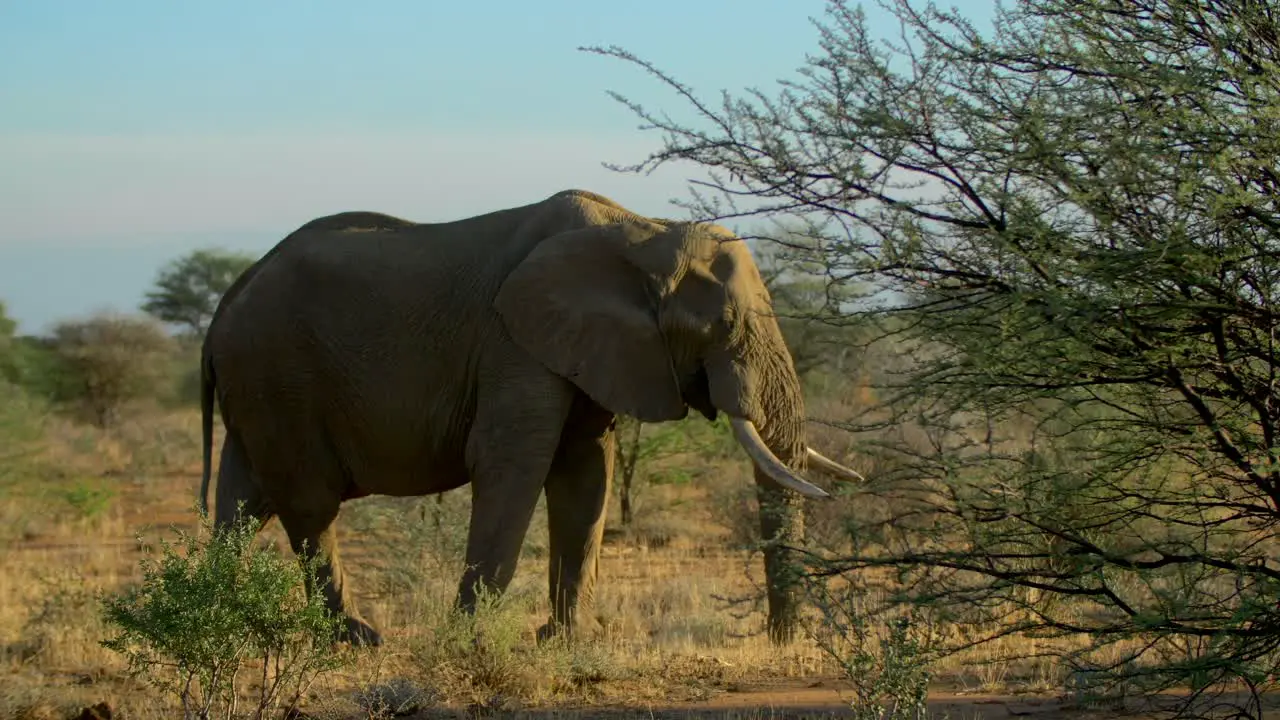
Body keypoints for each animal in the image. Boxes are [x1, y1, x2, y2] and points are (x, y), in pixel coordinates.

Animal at [197, 189, 860, 645]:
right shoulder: (514, 341)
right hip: (277, 373)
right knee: (308, 504)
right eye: (723, 325)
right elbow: (512, 461)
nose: (779, 641)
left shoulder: (588, 348)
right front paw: (469, 639)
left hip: (257, 386)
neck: (639, 232)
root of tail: (229, 297)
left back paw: (212, 615)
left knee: (243, 502)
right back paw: (357, 639)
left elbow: (586, 471)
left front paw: (566, 642)